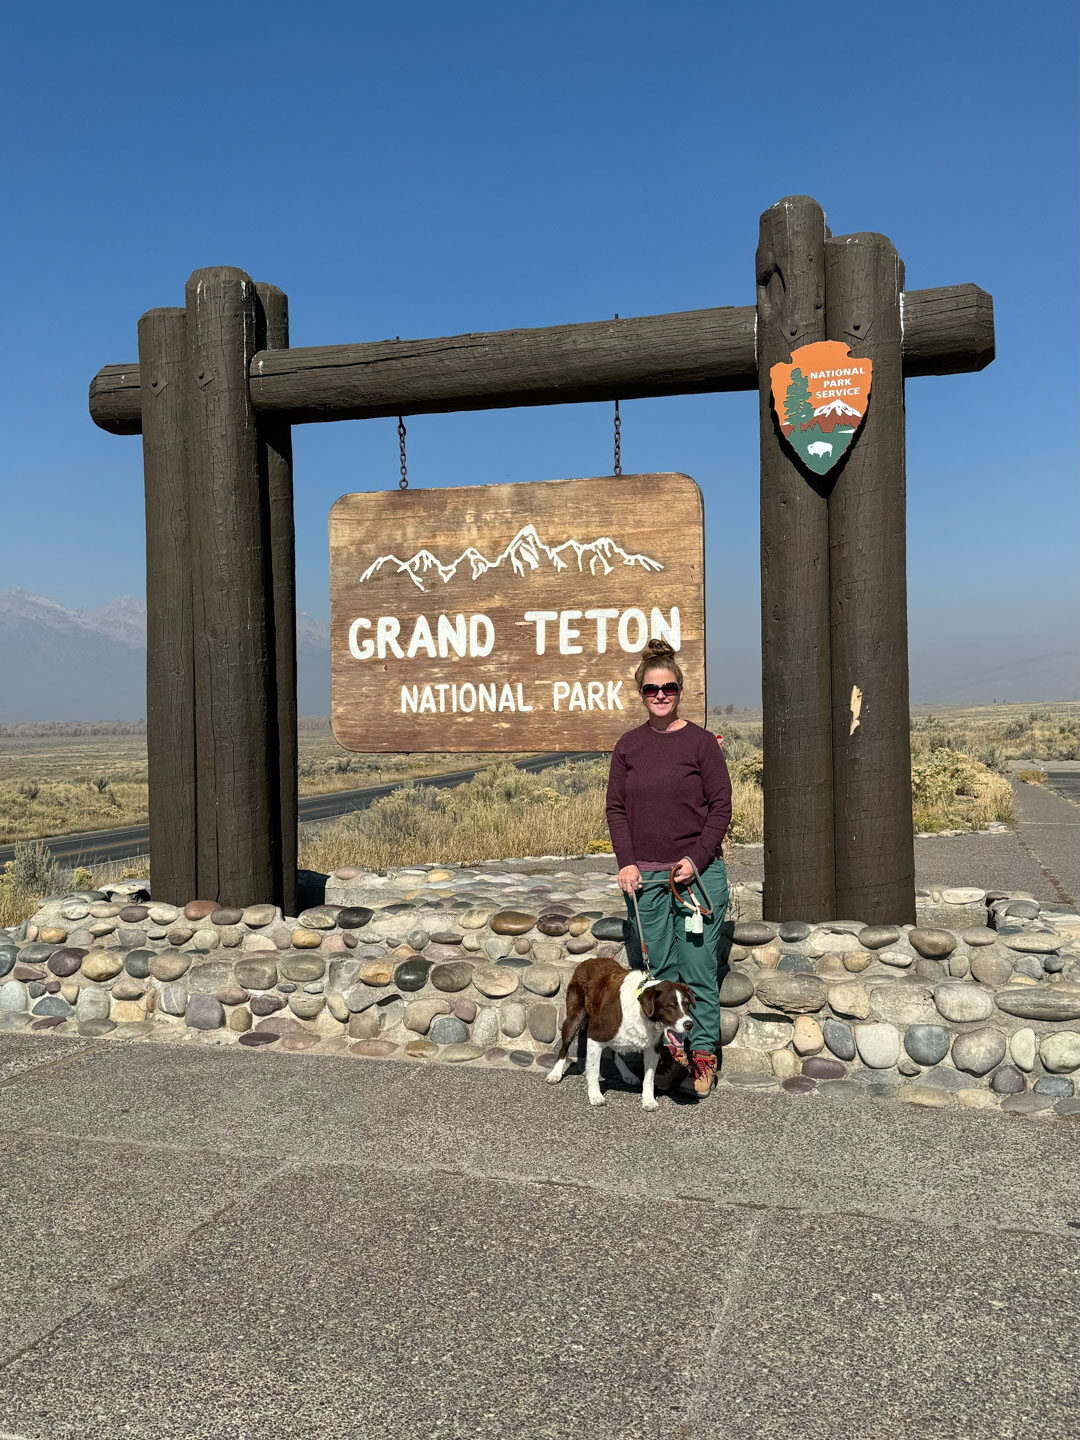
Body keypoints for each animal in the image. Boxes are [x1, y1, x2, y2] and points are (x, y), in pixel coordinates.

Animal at [550, 956, 694, 1111]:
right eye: (670, 1006)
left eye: (687, 1004)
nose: (689, 1024)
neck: (641, 1010)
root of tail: (589, 960)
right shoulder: (595, 1036)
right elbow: (594, 1070)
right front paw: (595, 1095)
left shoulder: (653, 1047)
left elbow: (649, 1077)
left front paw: (648, 1100)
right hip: (574, 1018)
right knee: (565, 1046)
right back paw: (555, 1073)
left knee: (616, 1052)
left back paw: (627, 1074)